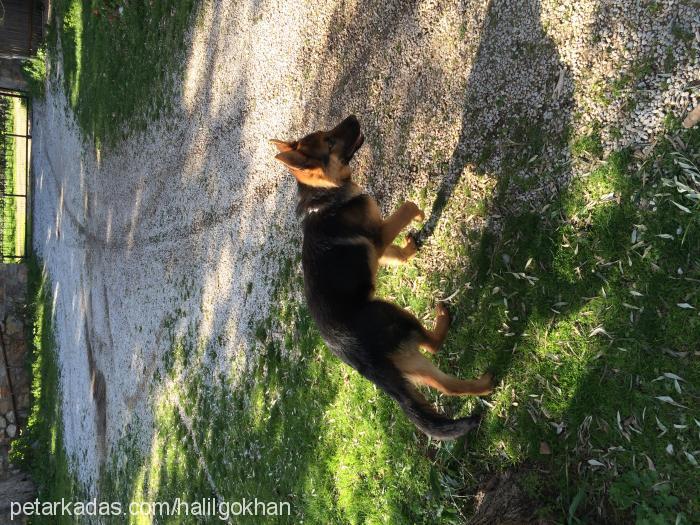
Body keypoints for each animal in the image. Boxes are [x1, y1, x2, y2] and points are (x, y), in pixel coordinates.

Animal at [270, 115, 494, 438]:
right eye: (329, 141)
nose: (353, 117)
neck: (325, 196)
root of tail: (356, 357)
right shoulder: (378, 236)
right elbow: (407, 207)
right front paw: (419, 215)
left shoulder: (379, 247)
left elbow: (398, 254)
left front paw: (410, 247)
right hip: (394, 316)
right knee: (434, 346)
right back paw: (443, 318)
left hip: (409, 365)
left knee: (447, 387)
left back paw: (484, 384)